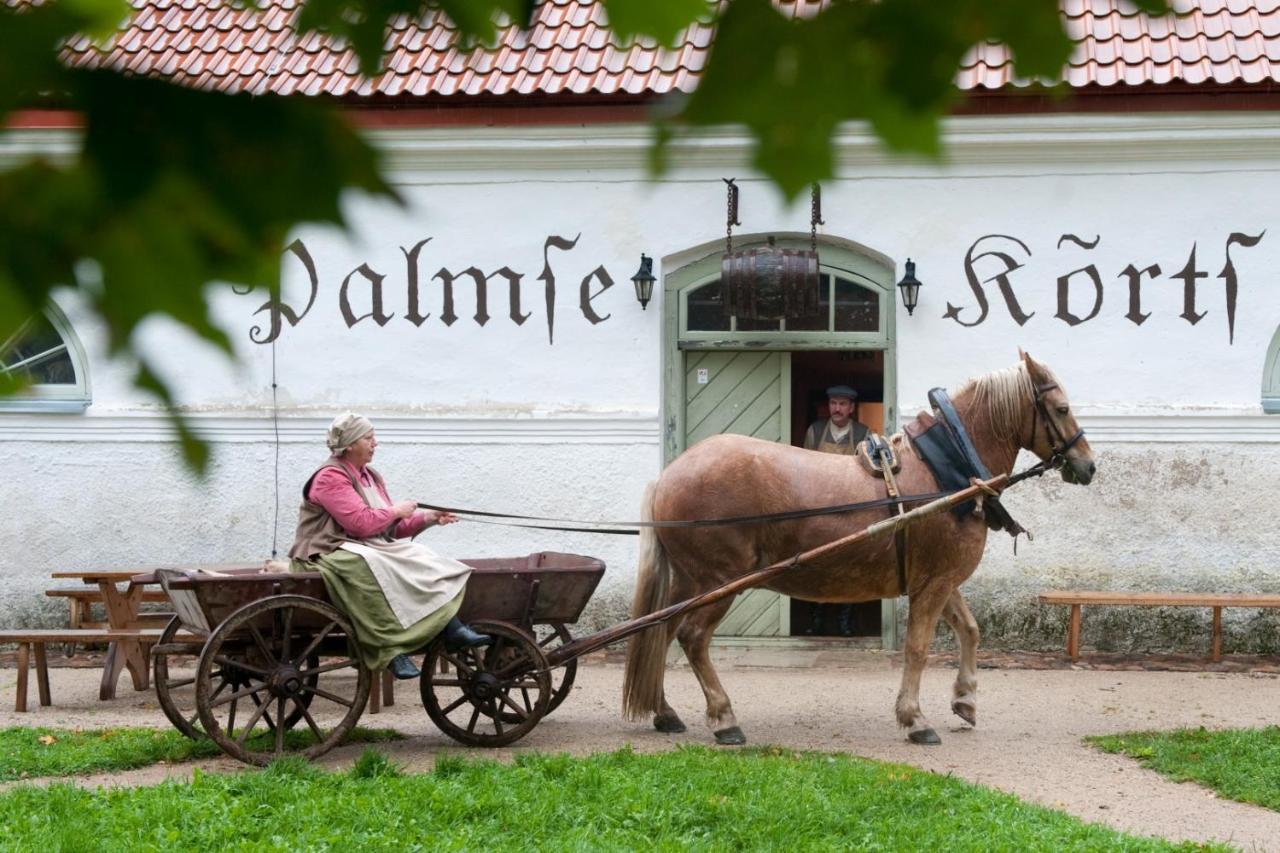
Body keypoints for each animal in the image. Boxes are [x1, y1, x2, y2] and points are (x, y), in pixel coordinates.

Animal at [619, 348, 1090, 742]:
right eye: (1062, 409)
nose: (1088, 465)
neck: (946, 471)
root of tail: (668, 474)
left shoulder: (941, 579)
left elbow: (970, 631)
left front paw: (965, 699)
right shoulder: (935, 584)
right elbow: (918, 648)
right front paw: (915, 719)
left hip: (690, 582)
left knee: (658, 632)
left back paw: (665, 712)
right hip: (721, 581)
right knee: (692, 638)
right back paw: (724, 719)